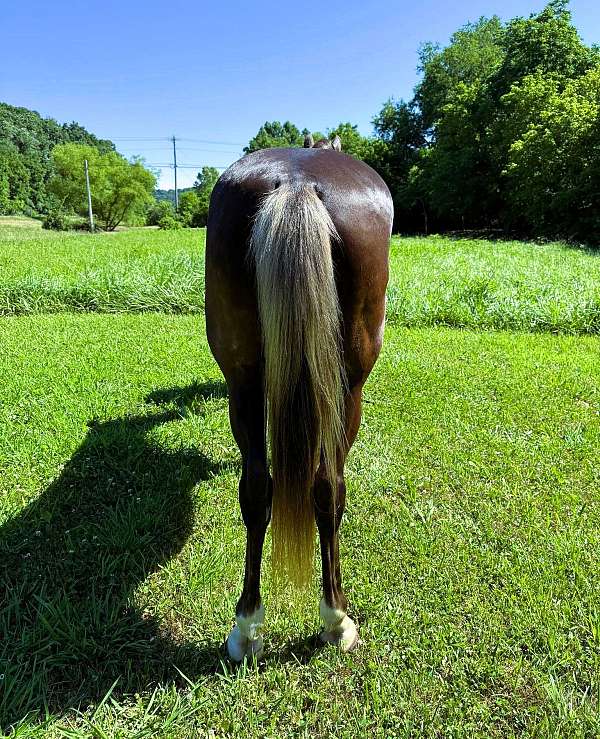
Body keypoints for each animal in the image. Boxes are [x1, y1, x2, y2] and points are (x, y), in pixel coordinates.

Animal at [206, 133, 394, 660]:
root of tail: (295, 181)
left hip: (243, 382)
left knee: (256, 489)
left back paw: (247, 627)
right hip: (348, 391)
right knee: (329, 486)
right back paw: (336, 618)